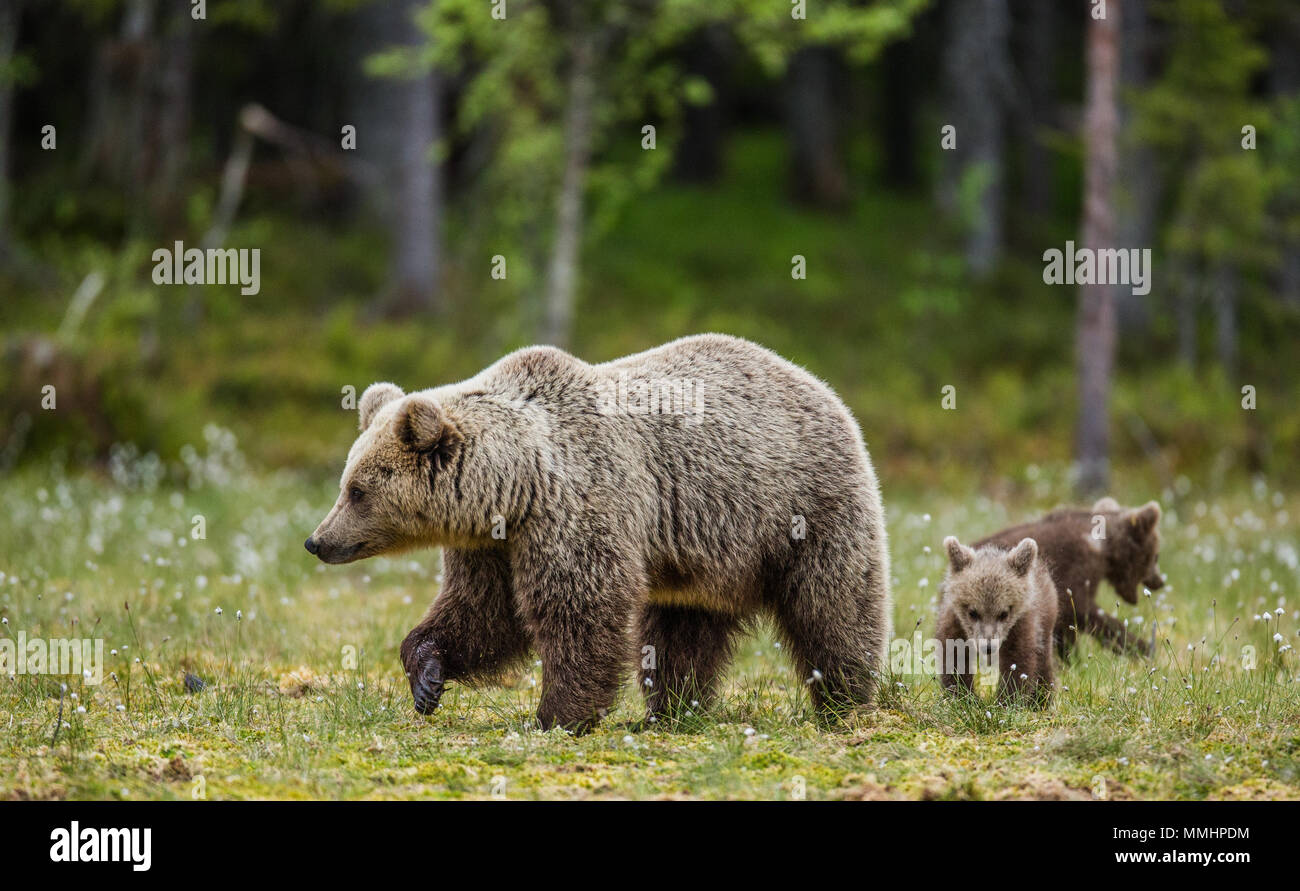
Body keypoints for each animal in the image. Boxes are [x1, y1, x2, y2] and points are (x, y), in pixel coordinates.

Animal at [305, 334, 892, 732]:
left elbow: (580, 606)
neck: (515, 486)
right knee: (682, 629)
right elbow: (484, 611)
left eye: (357, 490)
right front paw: (427, 676)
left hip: (803, 506)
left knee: (832, 604)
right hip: (701, 557)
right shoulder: (493, 544)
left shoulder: (579, 505)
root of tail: (815, 382)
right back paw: (670, 711)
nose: (318, 540)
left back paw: (846, 700)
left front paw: (557, 715)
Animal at [936, 536, 1058, 707]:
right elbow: (954, 656)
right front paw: (963, 697)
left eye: (1003, 613)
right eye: (973, 612)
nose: (988, 647)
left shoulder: (1020, 624)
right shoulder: (955, 622)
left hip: (1045, 621)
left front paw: (1006, 701)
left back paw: (1041, 700)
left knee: (1043, 660)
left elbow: (1018, 661)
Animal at [973, 498, 1164, 660]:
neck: (1104, 550)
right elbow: (1082, 611)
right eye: (1156, 556)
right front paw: (1143, 647)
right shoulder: (1075, 569)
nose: (1159, 581)